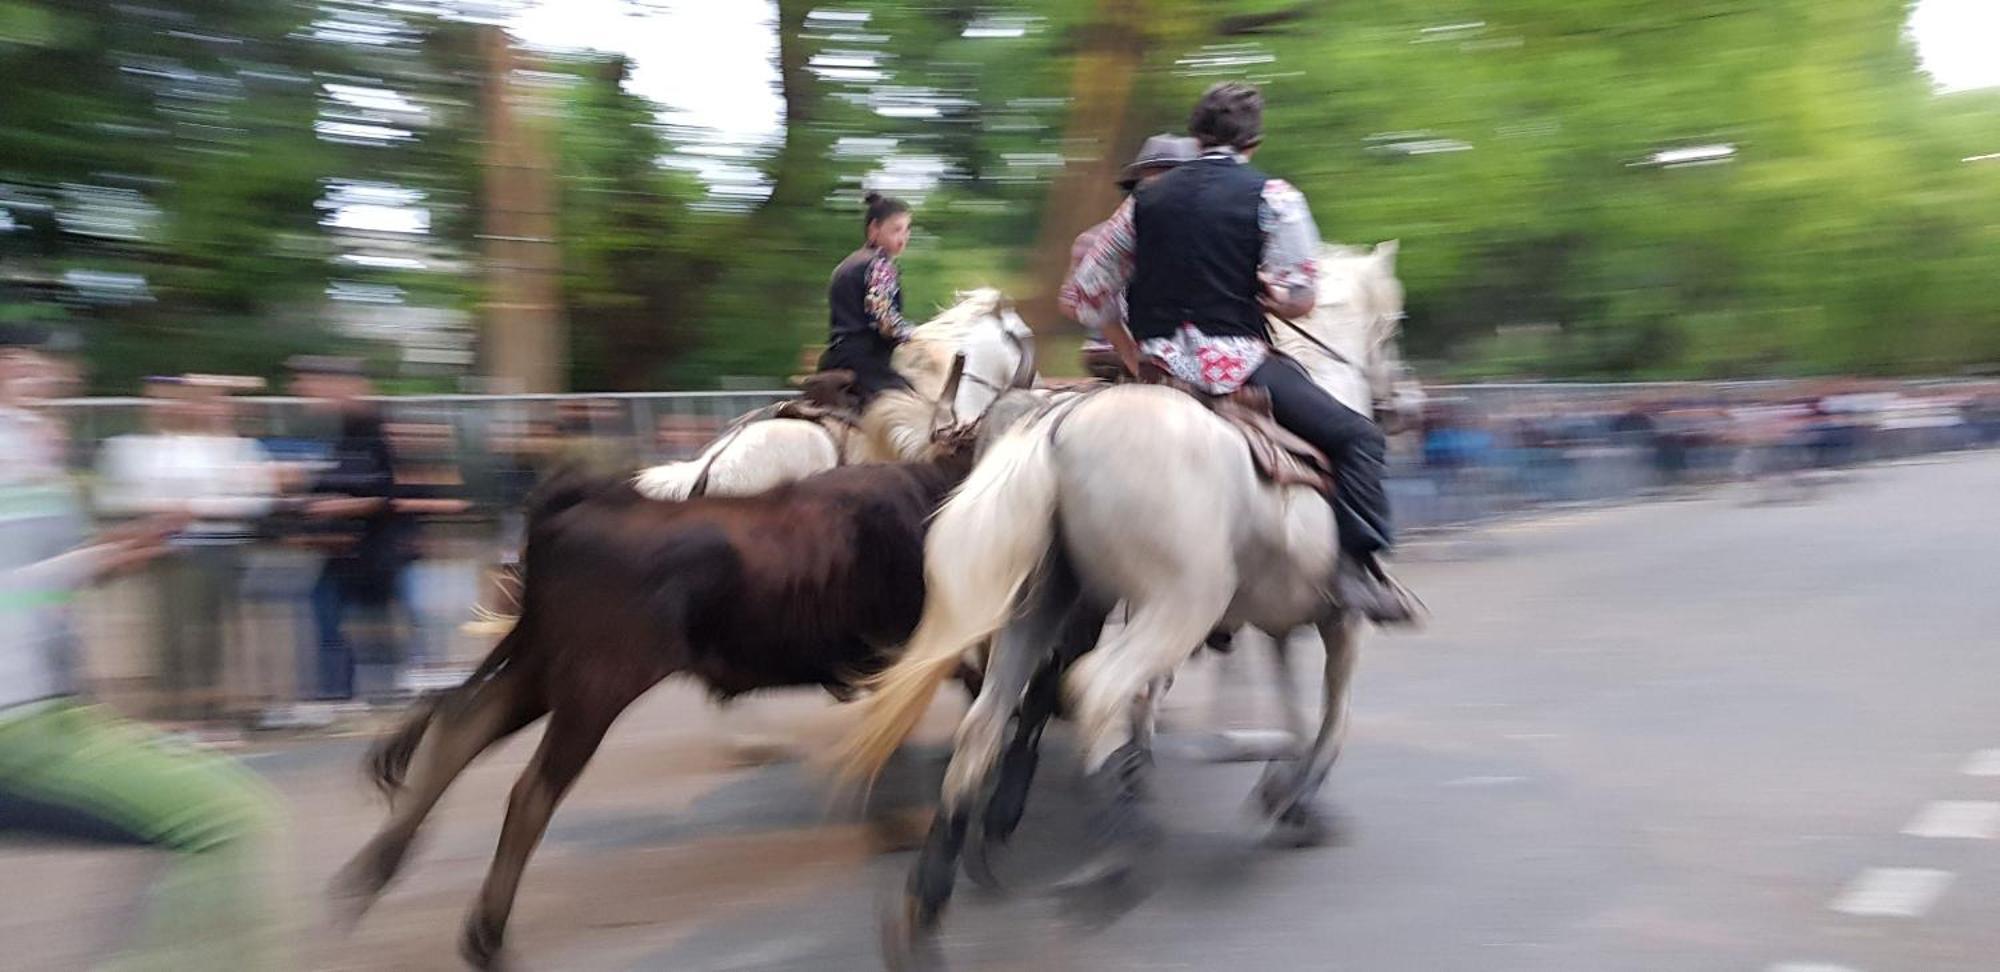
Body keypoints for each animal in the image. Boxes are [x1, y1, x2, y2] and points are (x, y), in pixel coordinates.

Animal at [330, 460, 968, 968]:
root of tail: (582, 504)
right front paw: (900, 824)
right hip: (597, 684)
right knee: (531, 789)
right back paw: (484, 932)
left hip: (544, 669)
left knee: (464, 723)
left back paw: (375, 872)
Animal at [836, 241, 1416, 956]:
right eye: (1393, 326)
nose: (1407, 404)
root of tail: (1054, 433)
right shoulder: (1338, 618)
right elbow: (1333, 716)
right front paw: (1294, 798)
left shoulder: (1271, 613)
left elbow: (1284, 697)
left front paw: (1274, 785)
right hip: (1177, 604)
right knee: (1092, 688)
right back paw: (1108, 860)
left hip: (1040, 606)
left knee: (992, 717)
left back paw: (933, 898)